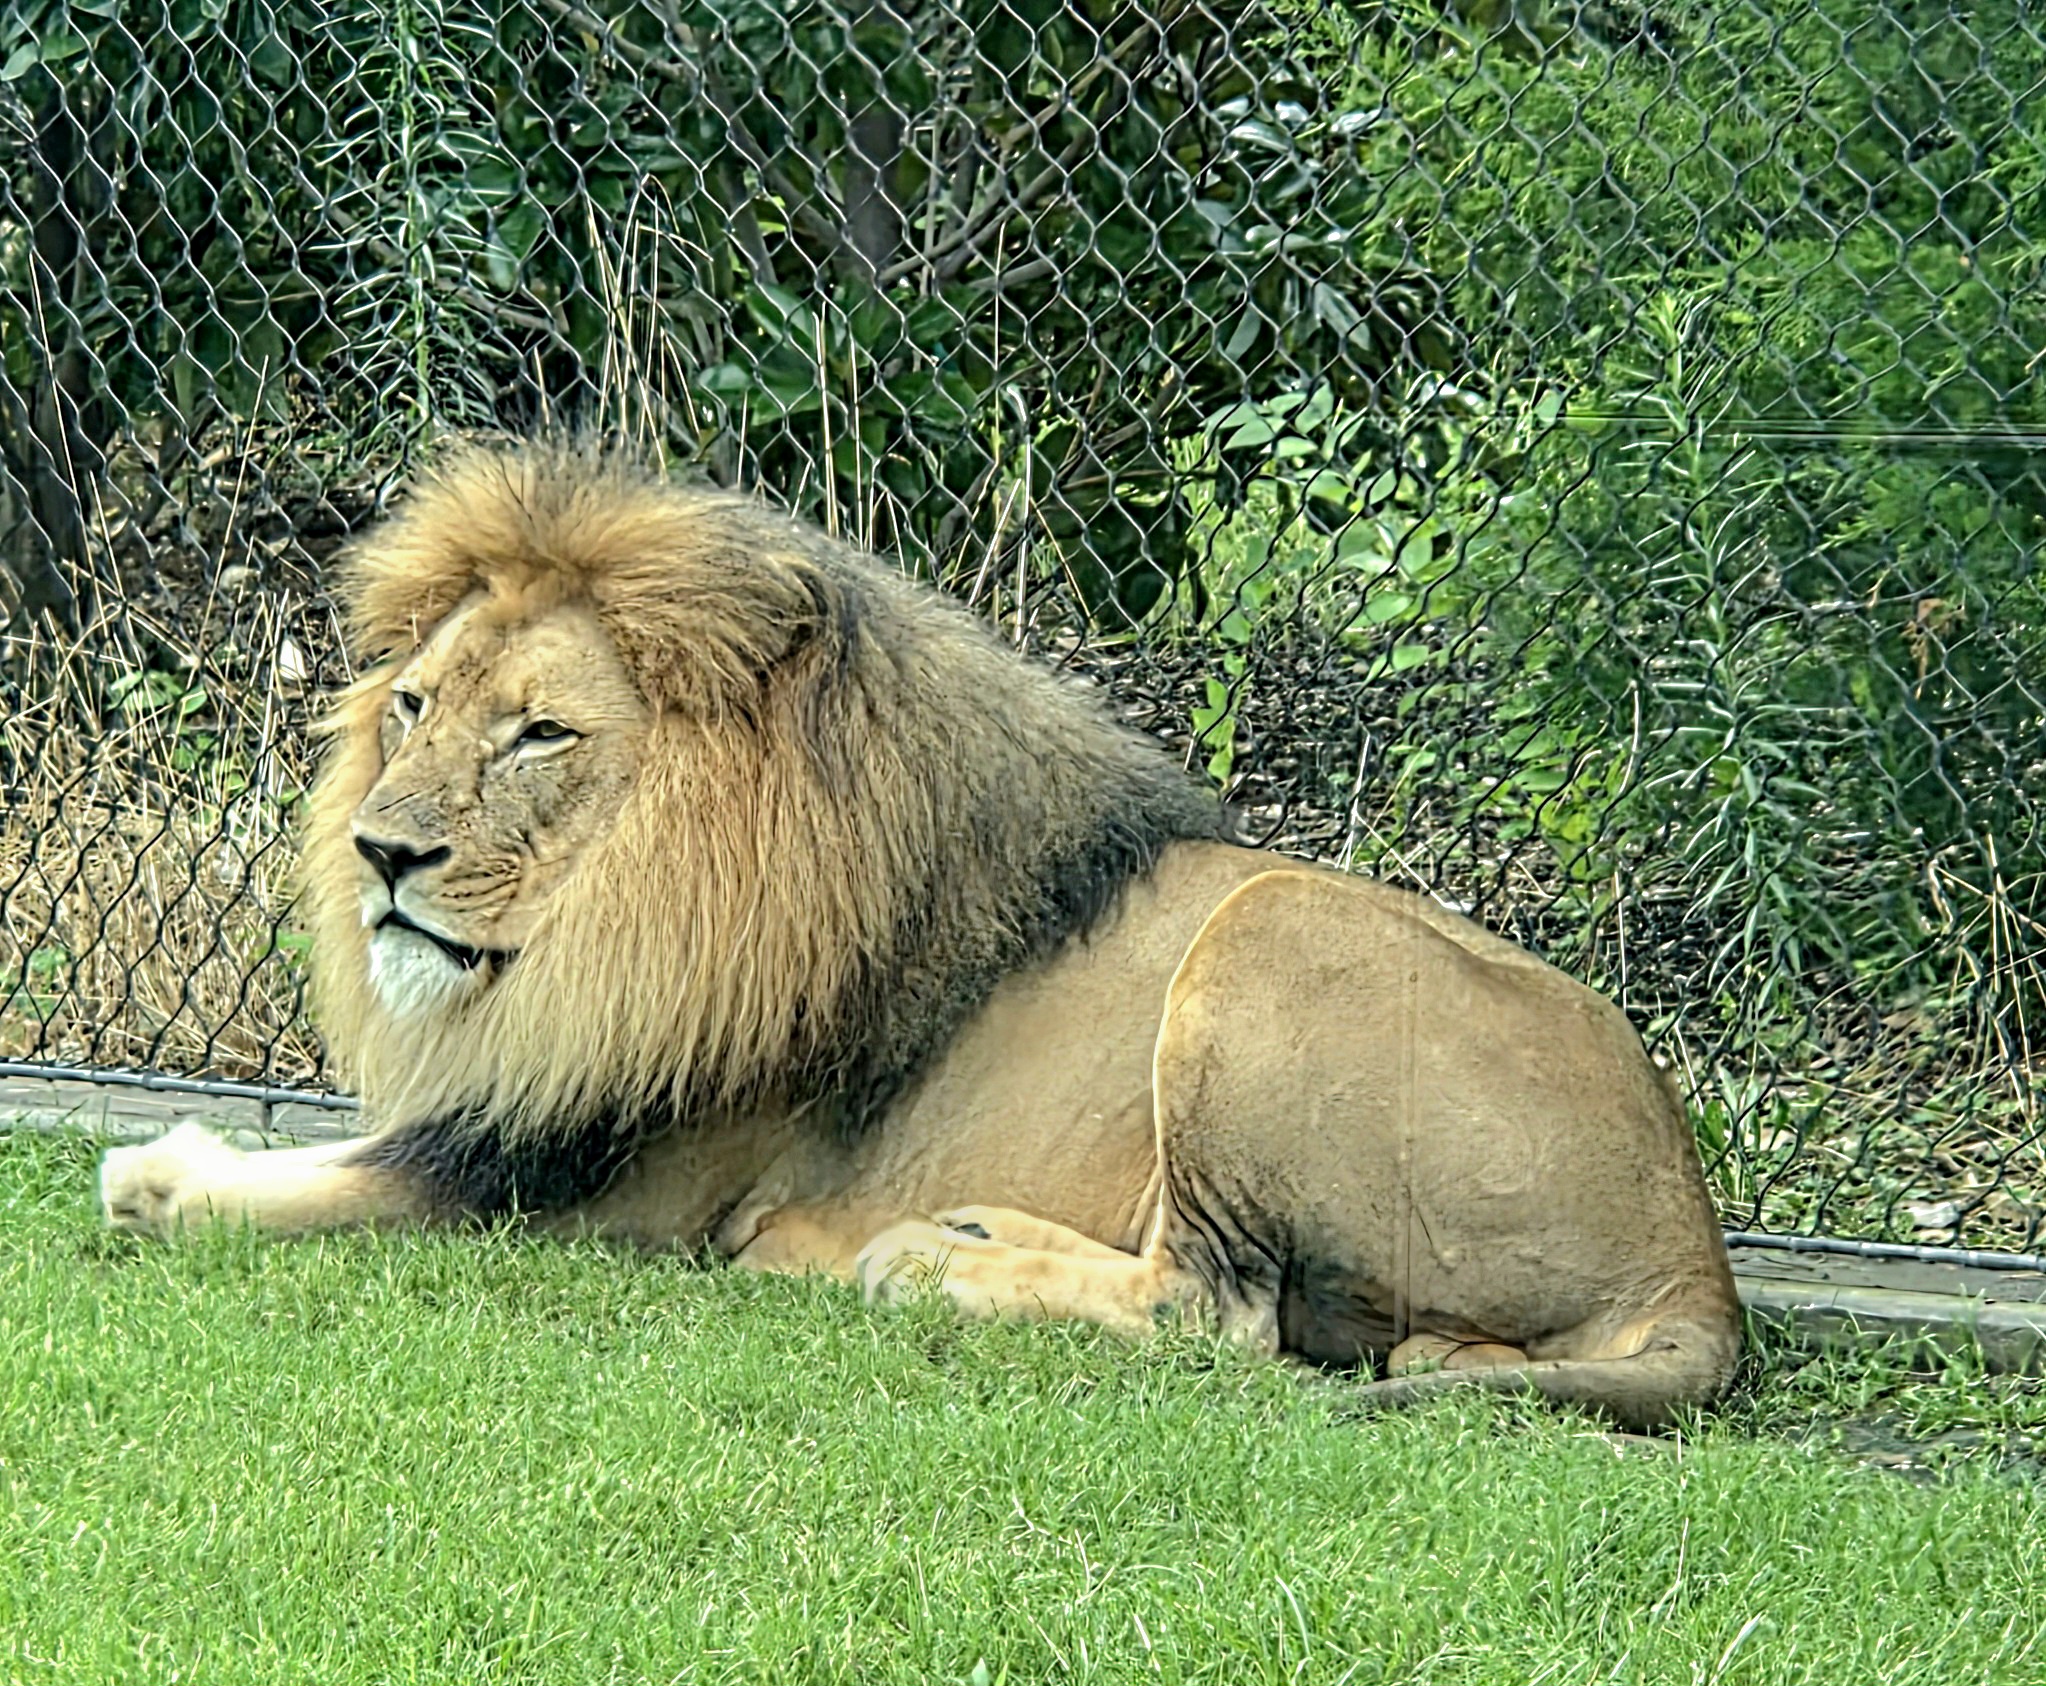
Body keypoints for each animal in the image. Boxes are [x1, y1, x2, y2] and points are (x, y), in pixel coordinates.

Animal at [99, 441, 1741, 1429]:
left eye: (542, 734)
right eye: (415, 706)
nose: (380, 853)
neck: (615, 915)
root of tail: (1698, 1253)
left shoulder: (585, 1174)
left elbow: (305, 1189)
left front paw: (165, 1171)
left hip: (1272, 927)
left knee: (1218, 1315)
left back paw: (938, 1267)